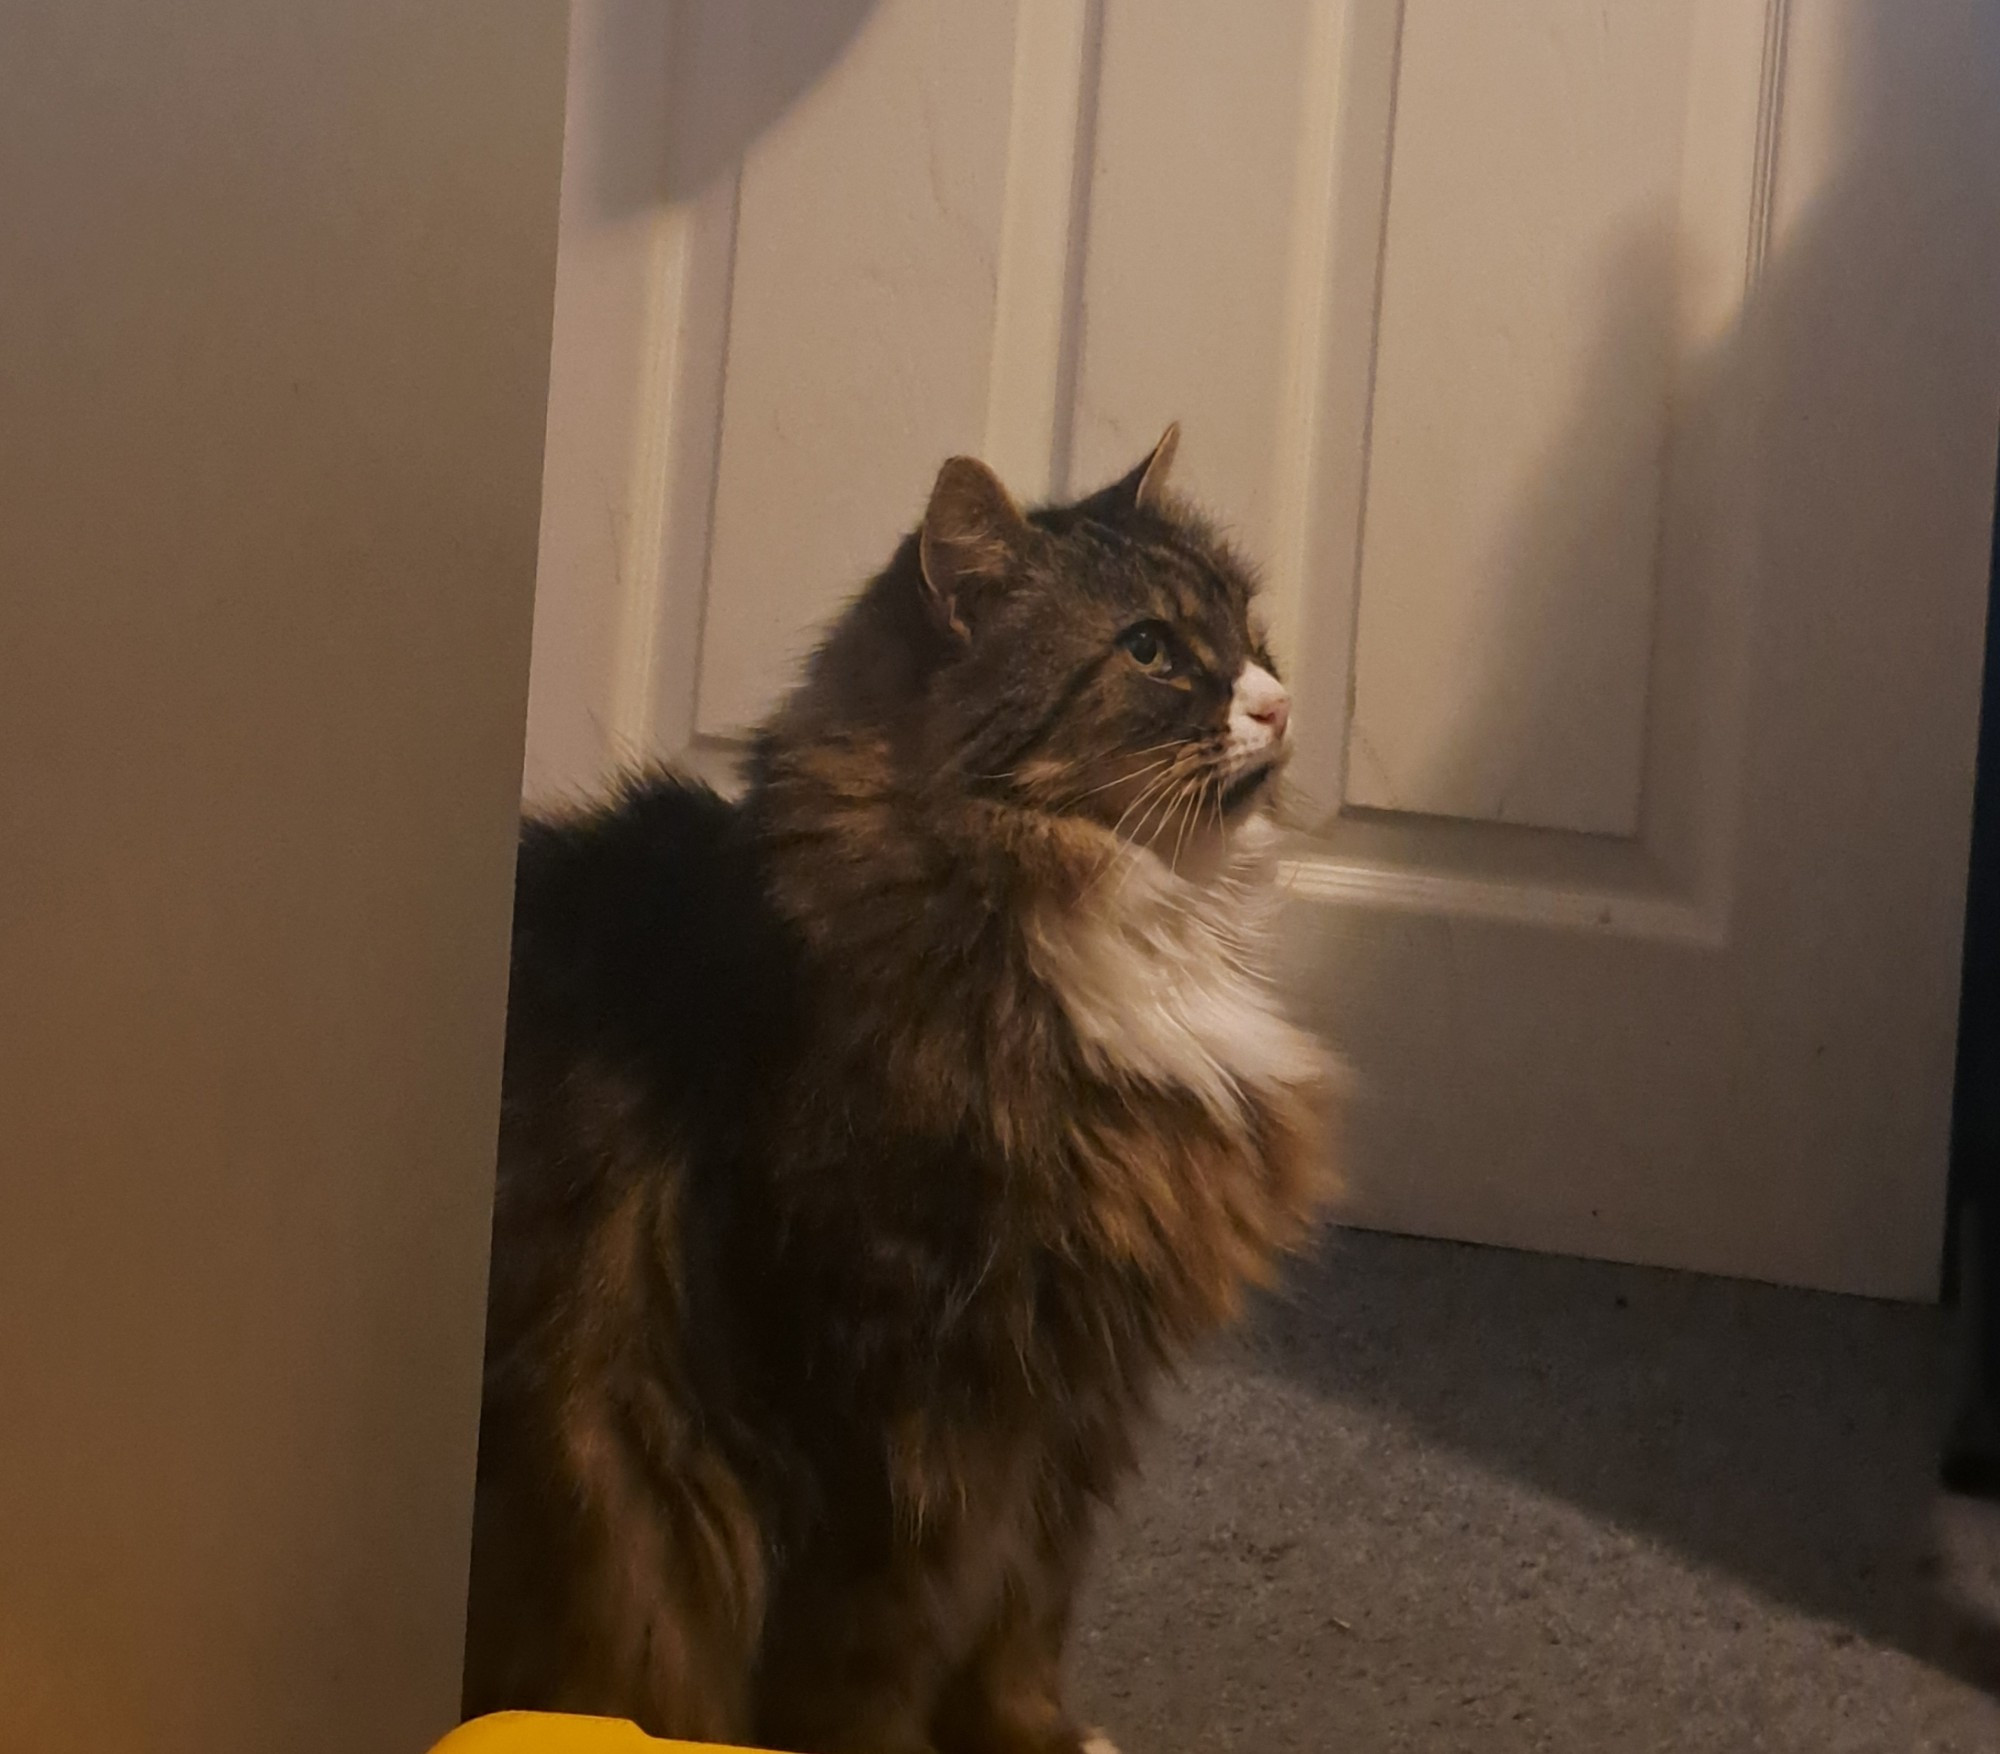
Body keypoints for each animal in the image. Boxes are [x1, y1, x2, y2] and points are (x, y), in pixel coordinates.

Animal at [460, 428, 1336, 1752]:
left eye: (1246, 623)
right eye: (1147, 647)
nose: (1278, 699)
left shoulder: (1069, 1401)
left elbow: (1024, 1619)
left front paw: (1043, 1738)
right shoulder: (876, 1404)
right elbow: (867, 1659)